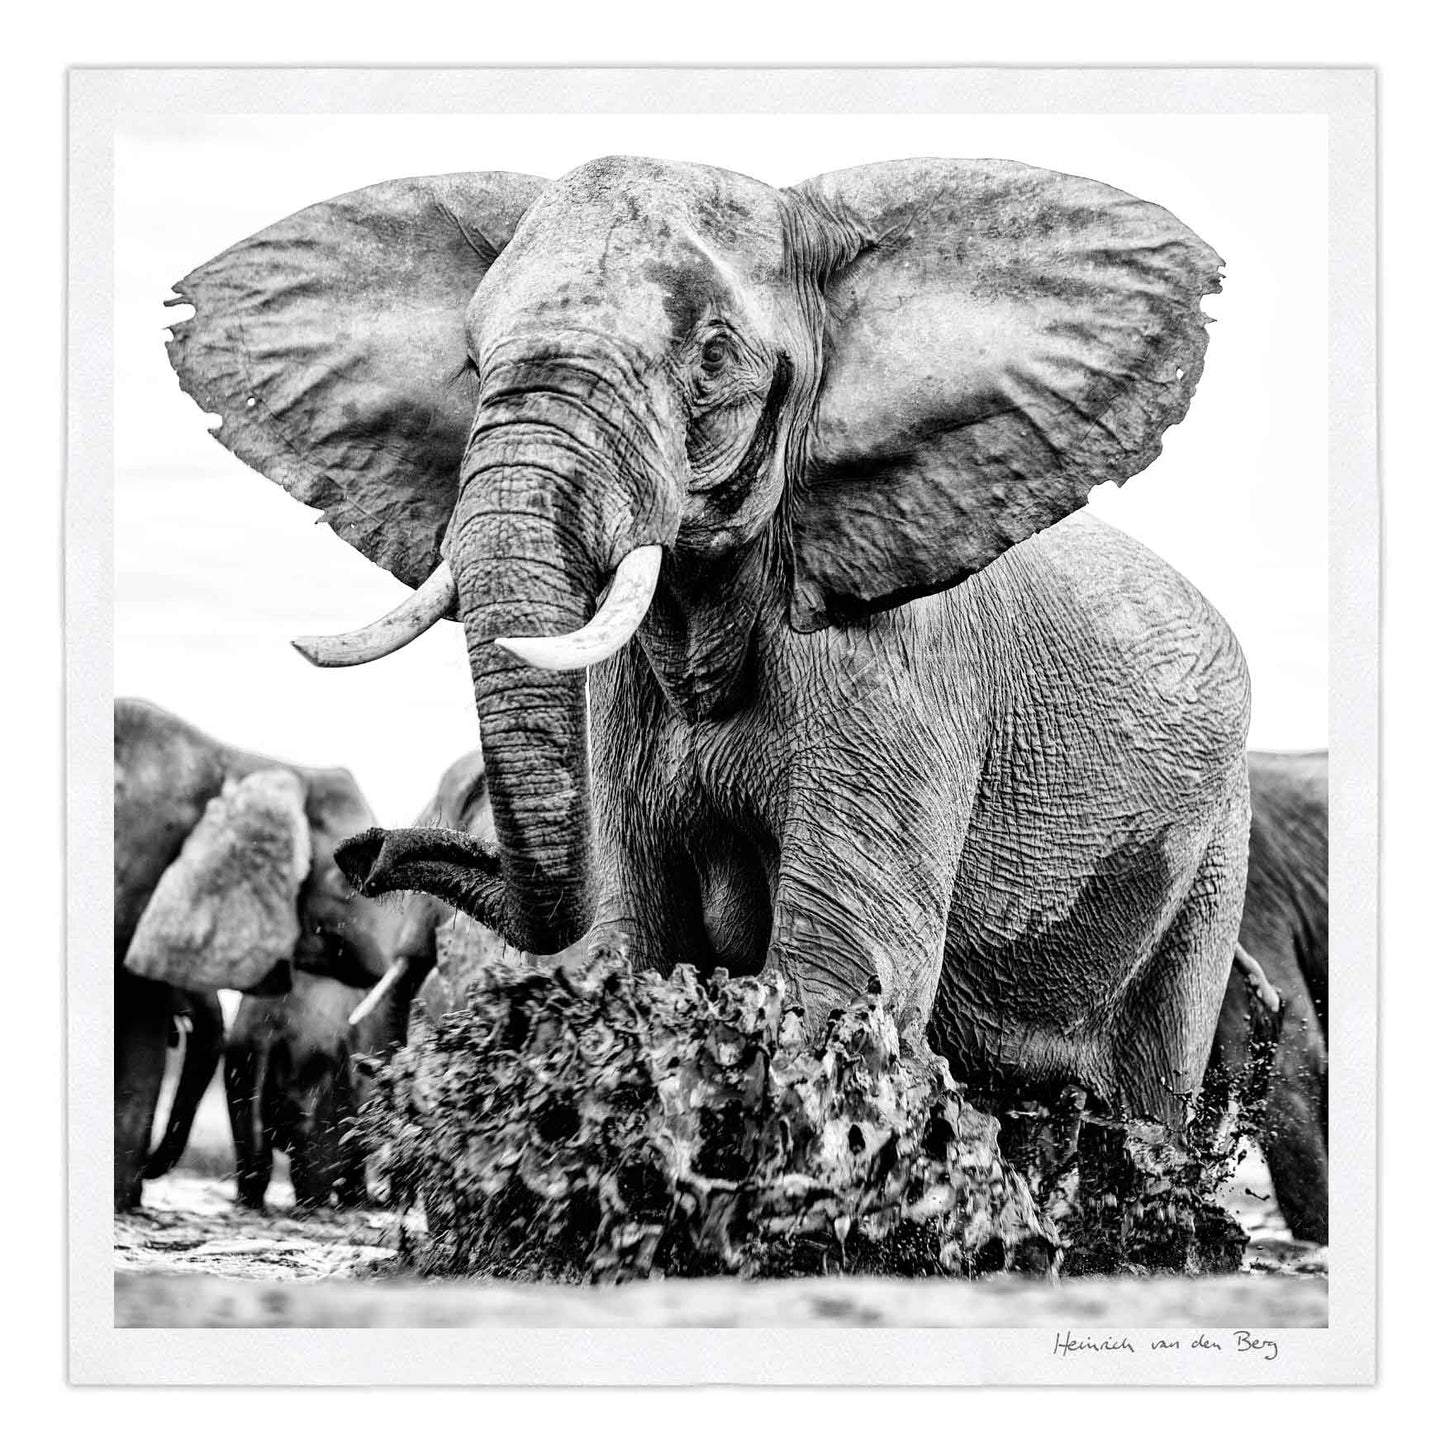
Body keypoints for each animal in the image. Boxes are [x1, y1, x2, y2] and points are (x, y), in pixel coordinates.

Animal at [167, 154, 1249, 1130]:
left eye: (714, 357)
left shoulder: (897, 671)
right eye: (471, 360)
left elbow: (835, 976)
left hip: (1211, 855)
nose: (366, 851)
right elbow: (640, 944)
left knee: (1149, 1102)